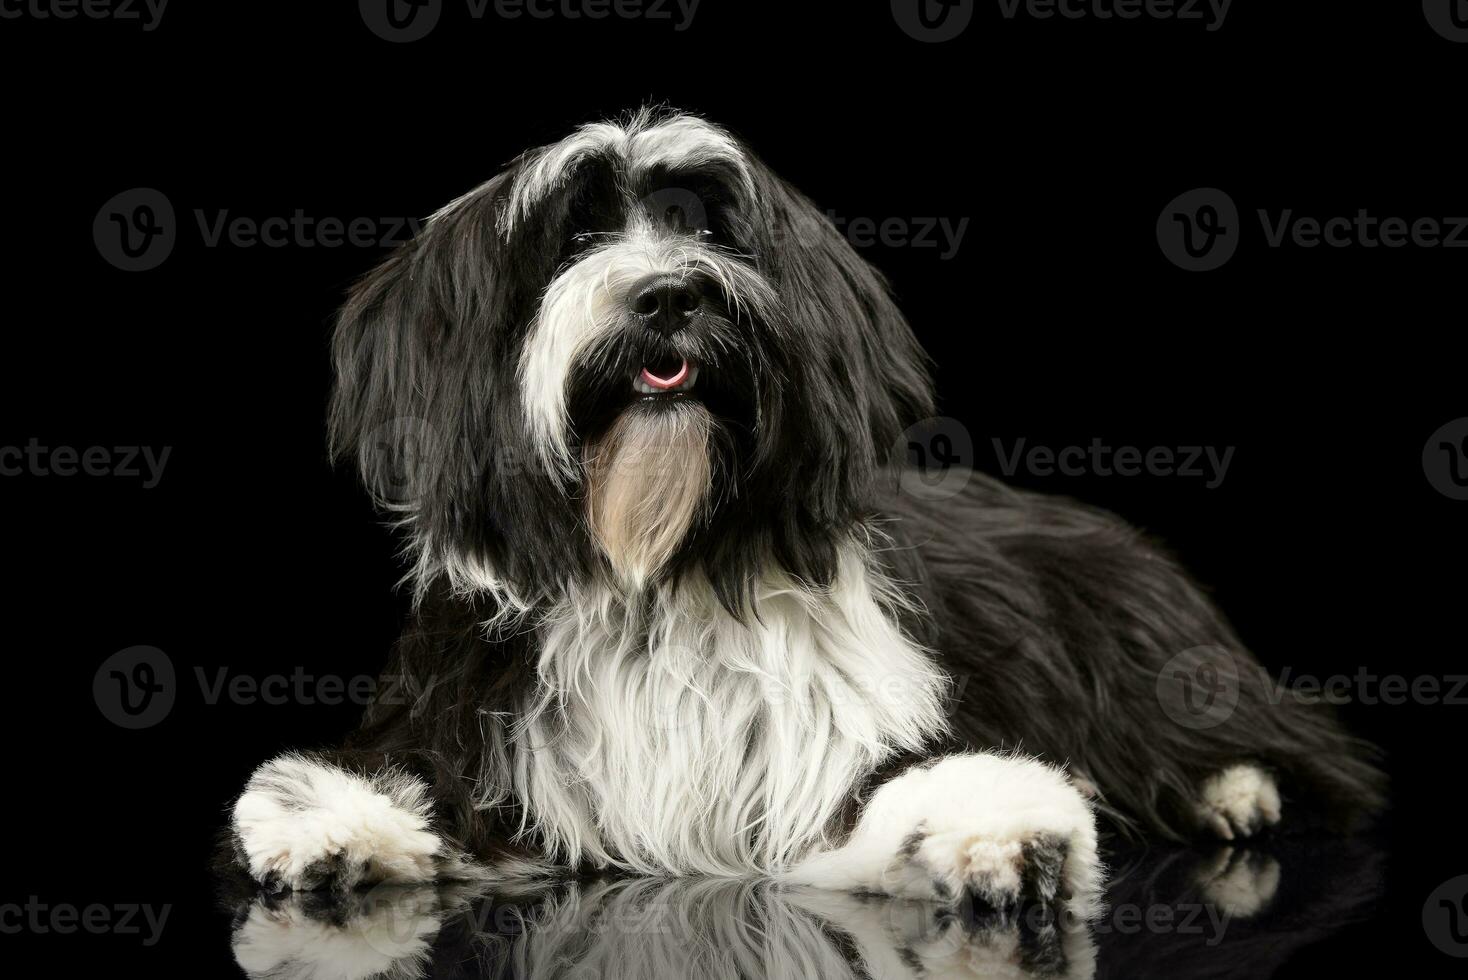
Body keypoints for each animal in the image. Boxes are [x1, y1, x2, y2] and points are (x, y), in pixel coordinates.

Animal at [223, 109, 1379, 921]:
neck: (657, 575)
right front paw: (328, 822)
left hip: (1138, 639)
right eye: (574, 236)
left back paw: (1235, 788)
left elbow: (904, 787)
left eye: (703, 227)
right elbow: (399, 776)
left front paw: (1003, 830)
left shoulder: (845, 732)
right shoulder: (468, 717)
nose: (671, 295)